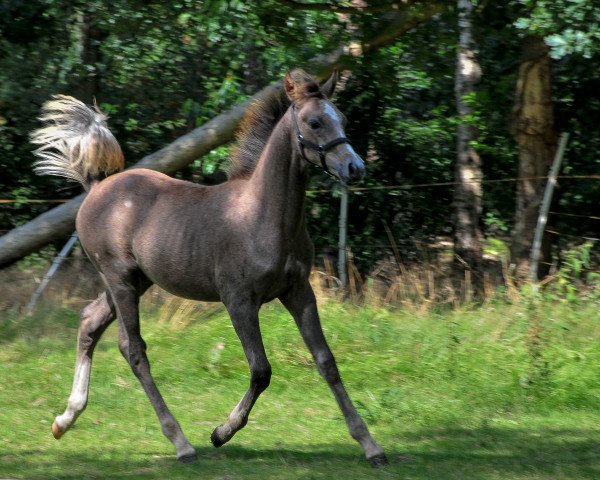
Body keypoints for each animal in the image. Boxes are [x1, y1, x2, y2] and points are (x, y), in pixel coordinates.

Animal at [32, 69, 390, 466]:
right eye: (314, 122)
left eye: (341, 119)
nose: (355, 168)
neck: (263, 216)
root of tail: (95, 187)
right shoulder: (239, 302)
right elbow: (261, 370)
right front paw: (221, 433)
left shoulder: (298, 292)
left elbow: (326, 362)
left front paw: (370, 445)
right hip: (119, 280)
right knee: (133, 349)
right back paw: (181, 443)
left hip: (135, 282)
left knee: (90, 323)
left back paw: (65, 419)